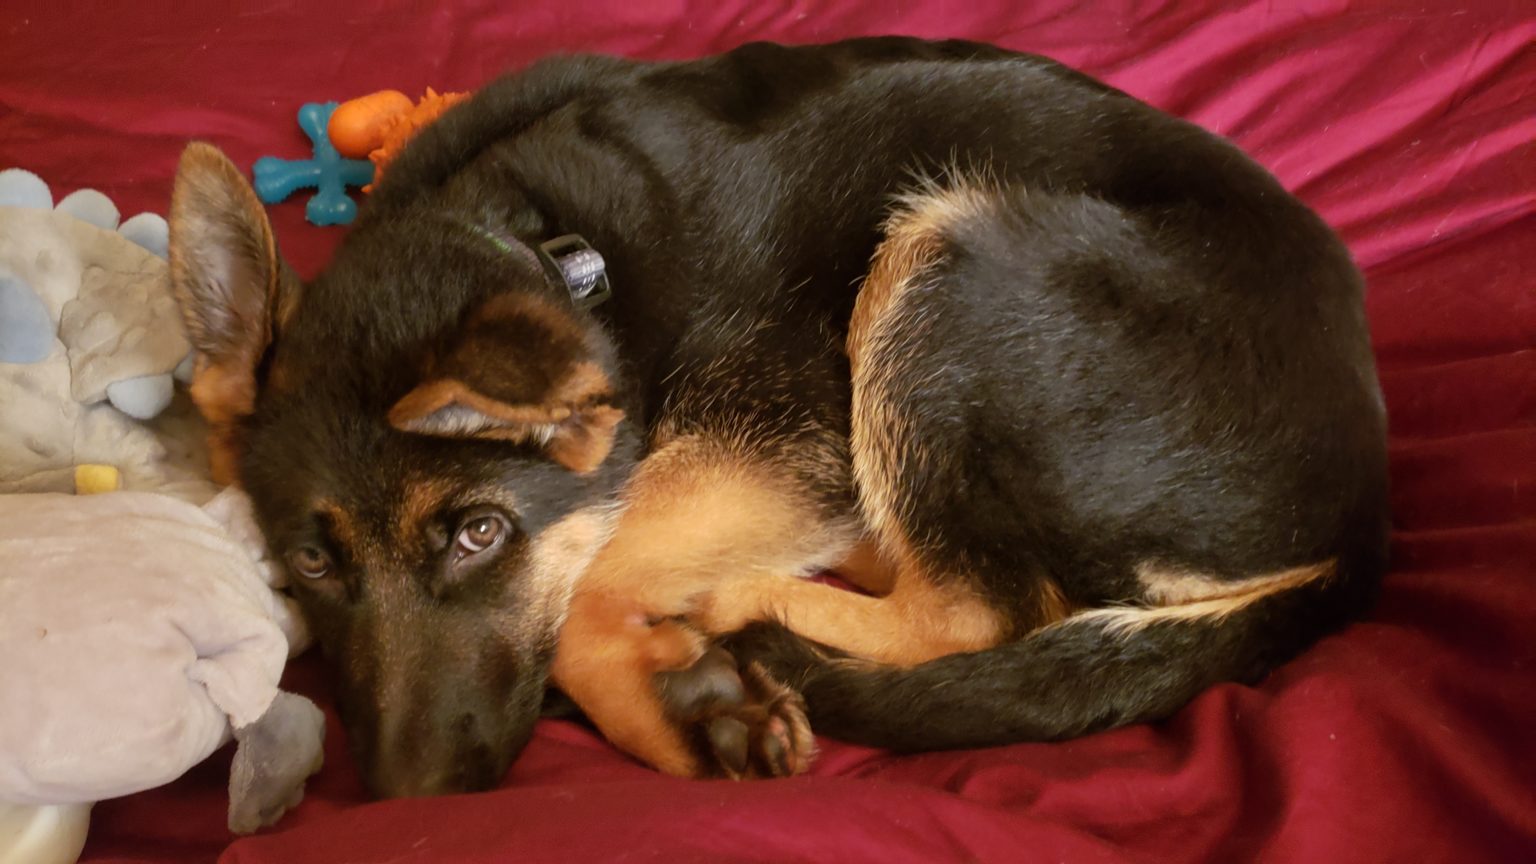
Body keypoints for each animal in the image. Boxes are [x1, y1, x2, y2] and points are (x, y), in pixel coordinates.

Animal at [167, 37, 1389, 796]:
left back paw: (748, 608)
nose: (412, 803)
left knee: (972, 612)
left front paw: (682, 704)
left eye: (480, 534)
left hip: (941, 257)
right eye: (308, 565)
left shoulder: (787, 445)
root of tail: (1359, 532)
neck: (552, 247)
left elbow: (591, 582)